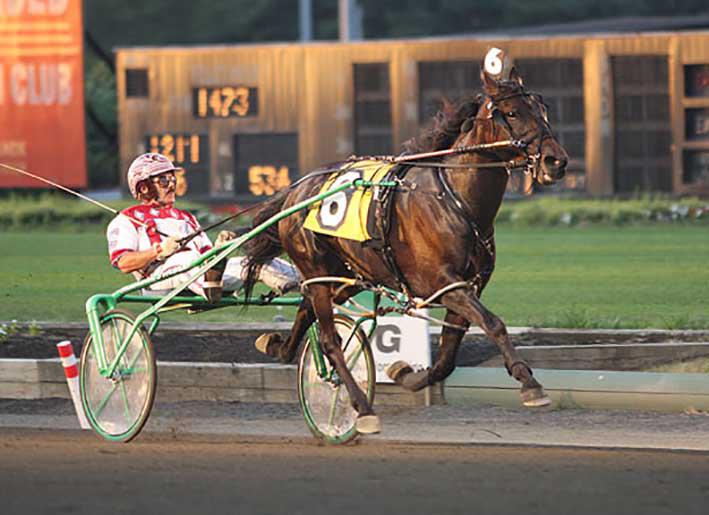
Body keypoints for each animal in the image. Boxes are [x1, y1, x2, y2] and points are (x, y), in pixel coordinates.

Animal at [243, 49, 568, 436]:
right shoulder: (443, 283)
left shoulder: (468, 285)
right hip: (318, 270)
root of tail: (296, 190)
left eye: (543, 108)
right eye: (513, 112)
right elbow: (494, 324)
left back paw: (280, 346)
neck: (454, 199)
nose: (556, 161)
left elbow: (446, 359)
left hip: (348, 275)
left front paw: (406, 374)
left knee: (307, 308)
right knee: (330, 340)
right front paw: (530, 384)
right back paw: (361, 407)